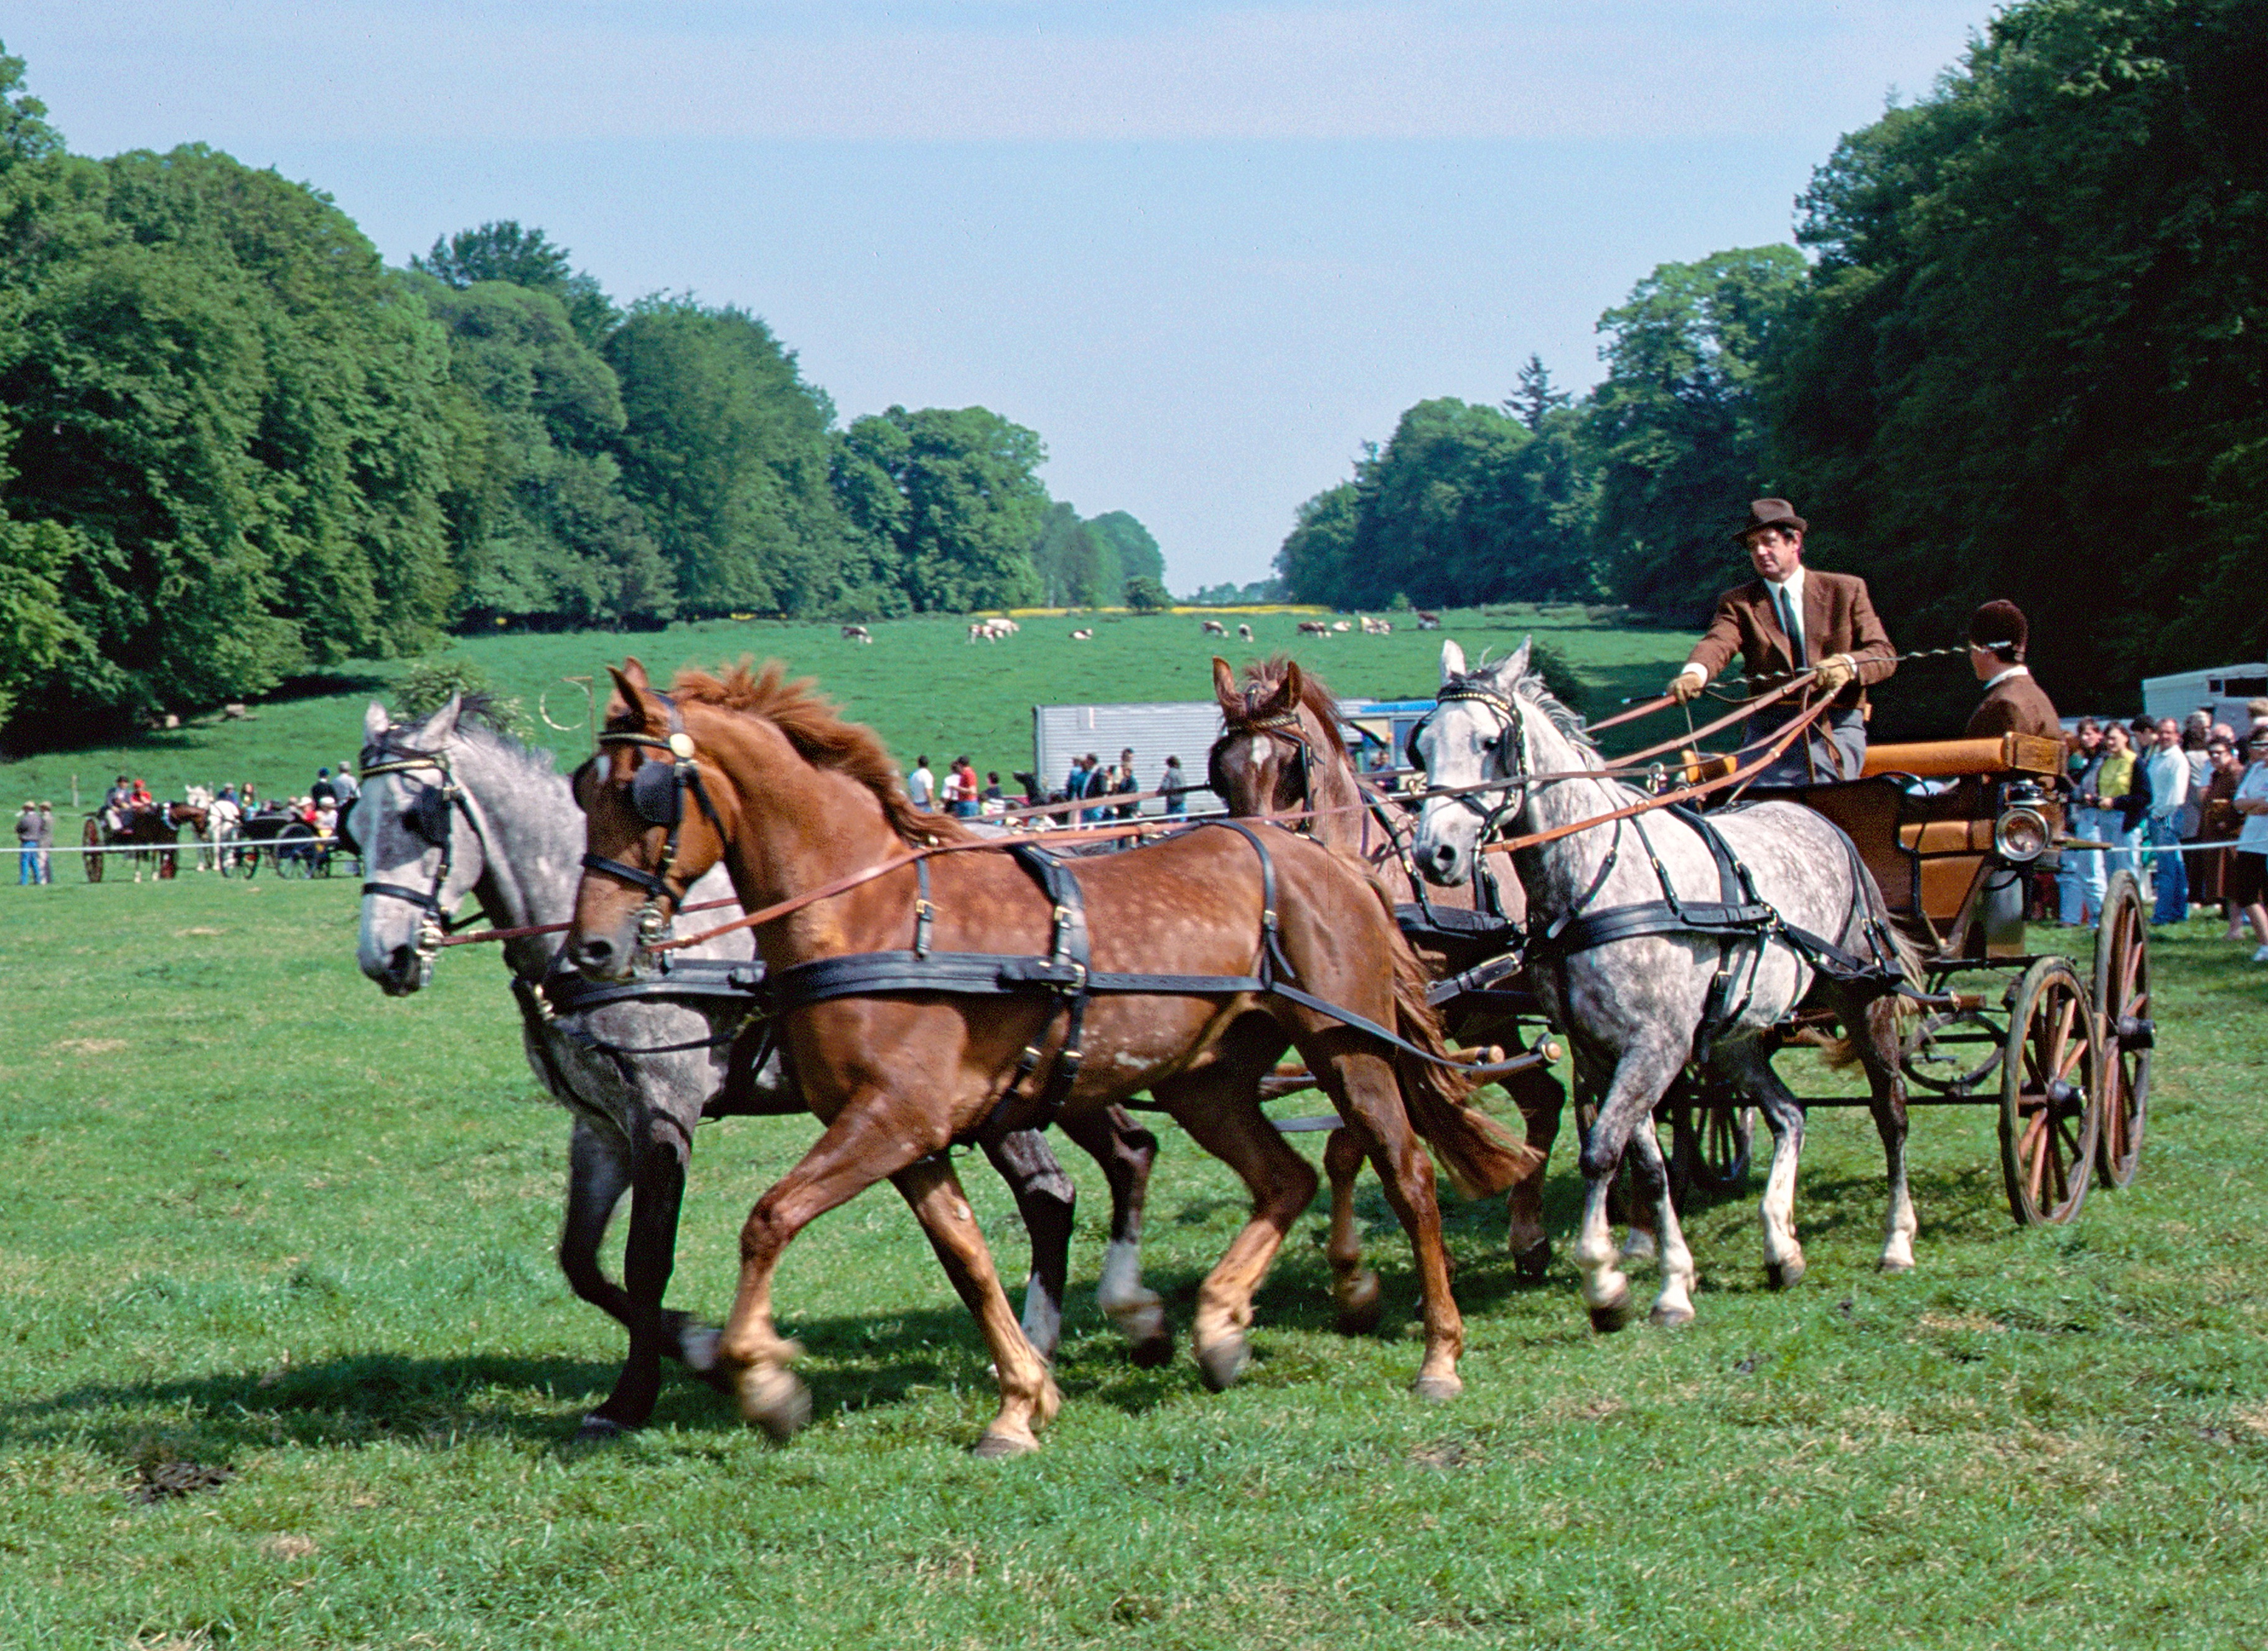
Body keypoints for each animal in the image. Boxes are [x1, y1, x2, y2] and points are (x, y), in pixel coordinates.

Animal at [354, 689, 1170, 1442]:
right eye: (355, 823)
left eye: (417, 819)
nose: (382, 958)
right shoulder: (601, 1124)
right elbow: (582, 1262)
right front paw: (700, 1350)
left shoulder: (664, 1108)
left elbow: (646, 1257)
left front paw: (654, 1386)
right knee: (1090, 1172)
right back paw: (1067, 1341)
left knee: (1071, 1181)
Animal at [567, 657, 1533, 1460]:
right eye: (583, 791)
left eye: (645, 794)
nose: (590, 949)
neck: (879, 916)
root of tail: (1328, 862)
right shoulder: (906, 1134)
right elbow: (966, 1258)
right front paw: (1022, 1401)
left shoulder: (891, 1120)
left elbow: (769, 1218)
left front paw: (762, 1379)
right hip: (1206, 1082)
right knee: (1283, 1178)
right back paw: (1219, 1326)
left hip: (1349, 1052)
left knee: (1404, 1171)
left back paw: (1438, 1354)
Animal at [1415, 639, 1914, 1324]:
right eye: (1423, 744)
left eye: (1490, 742)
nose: (1432, 853)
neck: (1597, 882)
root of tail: (1825, 823)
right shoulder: (1602, 1051)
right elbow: (1645, 1164)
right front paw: (1672, 1281)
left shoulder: (1654, 1046)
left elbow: (1601, 1152)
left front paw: (1603, 1282)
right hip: (1734, 1038)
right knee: (1788, 1115)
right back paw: (1781, 1246)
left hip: (1864, 998)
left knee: (1890, 1113)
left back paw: (1896, 1242)